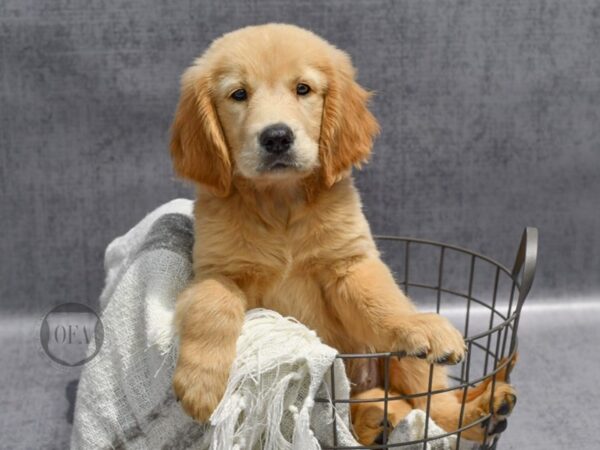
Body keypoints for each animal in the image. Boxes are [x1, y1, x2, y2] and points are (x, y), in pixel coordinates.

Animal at [169, 24, 516, 446]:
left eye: (303, 89)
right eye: (238, 94)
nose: (277, 137)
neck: (280, 204)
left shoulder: (348, 265)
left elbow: (380, 301)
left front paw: (412, 323)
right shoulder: (216, 271)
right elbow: (211, 307)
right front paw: (201, 384)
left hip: (408, 365)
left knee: (434, 406)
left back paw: (482, 412)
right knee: (372, 411)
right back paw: (377, 418)